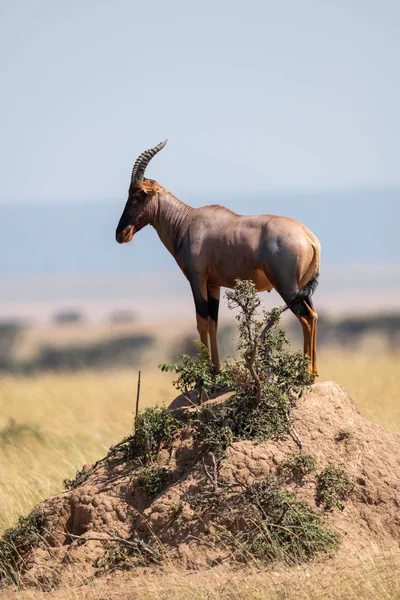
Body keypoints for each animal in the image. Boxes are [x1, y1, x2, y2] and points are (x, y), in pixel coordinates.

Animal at [116, 141, 322, 380]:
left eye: (138, 193)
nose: (121, 234)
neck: (187, 221)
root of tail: (309, 237)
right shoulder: (213, 283)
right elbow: (213, 322)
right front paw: (216, 369)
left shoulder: (197, 278)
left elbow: (201, 321)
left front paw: (205, 372)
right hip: (302, 288)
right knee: (314, 315)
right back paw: (313, 372)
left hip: (287, 286)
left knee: (306, 317)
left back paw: (305, 373)